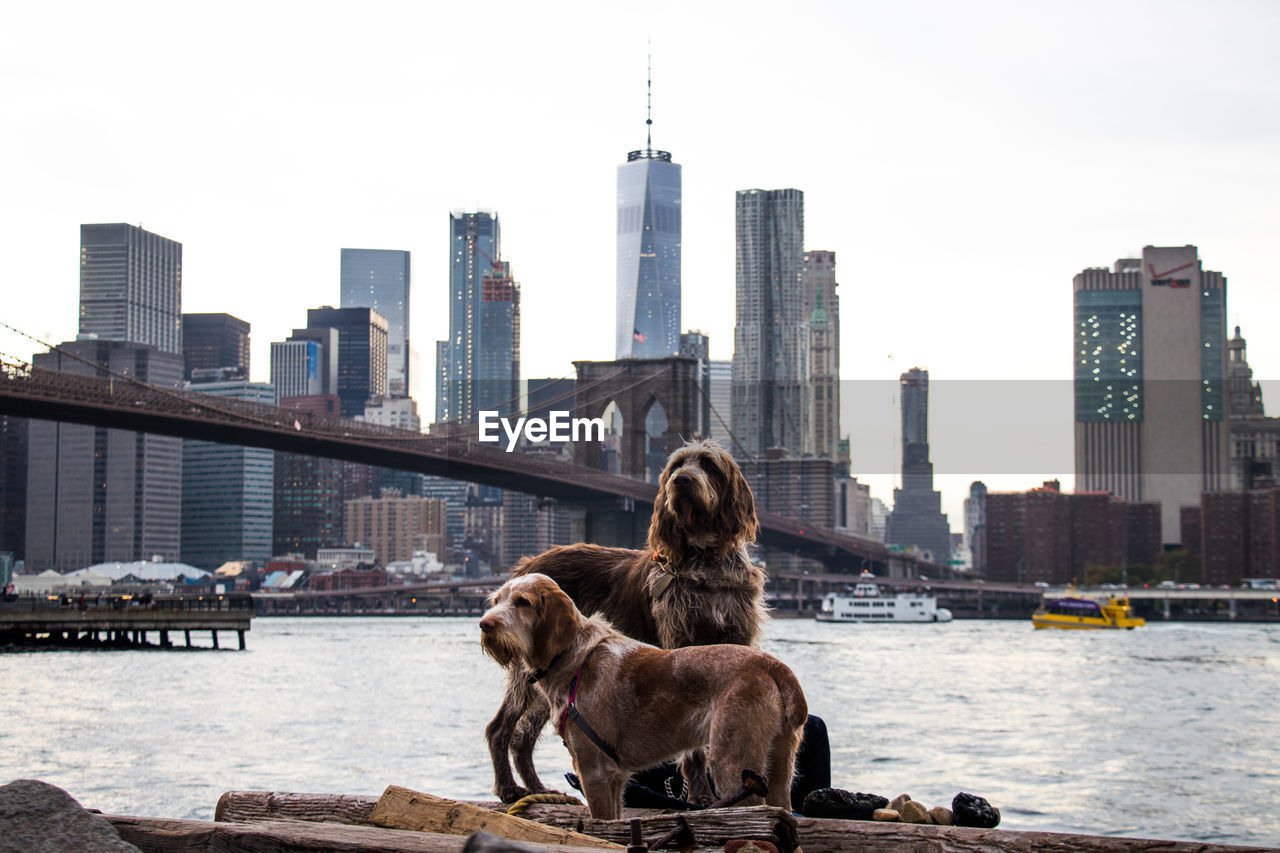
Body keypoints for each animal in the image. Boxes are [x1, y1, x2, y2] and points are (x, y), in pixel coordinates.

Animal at [481, 435, 762, 799]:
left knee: (523, 737)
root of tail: (526, 568)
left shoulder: (736, 639)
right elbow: (694, 747)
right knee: (500, 729)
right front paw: (700, 795)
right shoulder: (681, 644)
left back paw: (537, 788)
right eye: (676, 465)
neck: (706, 562)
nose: (681, 480)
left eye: (708, 464)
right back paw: (509, 788)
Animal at [483, 571, 803, 819]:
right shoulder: (614, 777)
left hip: (732, 766)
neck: (576, 656)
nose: (485, 624)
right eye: (496, 601)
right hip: (779, 768)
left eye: (522, 602)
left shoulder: (594, 770)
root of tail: (774, 666)